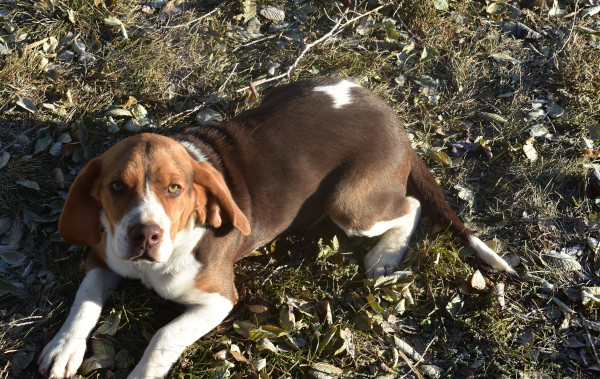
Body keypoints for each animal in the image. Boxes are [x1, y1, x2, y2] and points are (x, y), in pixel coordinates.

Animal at [38, 76, 516, 378]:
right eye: (116, 187)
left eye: (175, 188)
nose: (145, 236)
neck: (152, 265)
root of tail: (395, 122)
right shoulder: (104, 255)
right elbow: (83, 302)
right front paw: (64, 348)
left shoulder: (219, 299)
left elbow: (162, 335)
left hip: (349, 203)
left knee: (411, 205)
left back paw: (385, 254)